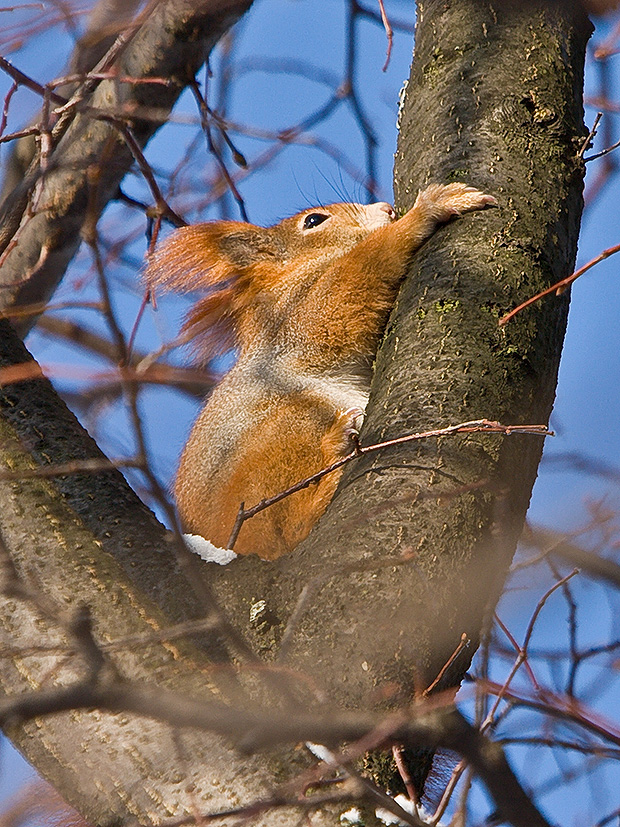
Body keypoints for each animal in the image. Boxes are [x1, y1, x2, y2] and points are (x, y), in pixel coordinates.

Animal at [144, 185, 494, 564]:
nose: (387, 209)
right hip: (290, 430)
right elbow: (353, 281)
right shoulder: (296, 319)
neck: (299, 271)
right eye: (313, 221)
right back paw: (336, 452)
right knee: (288, 529)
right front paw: (428, 209)